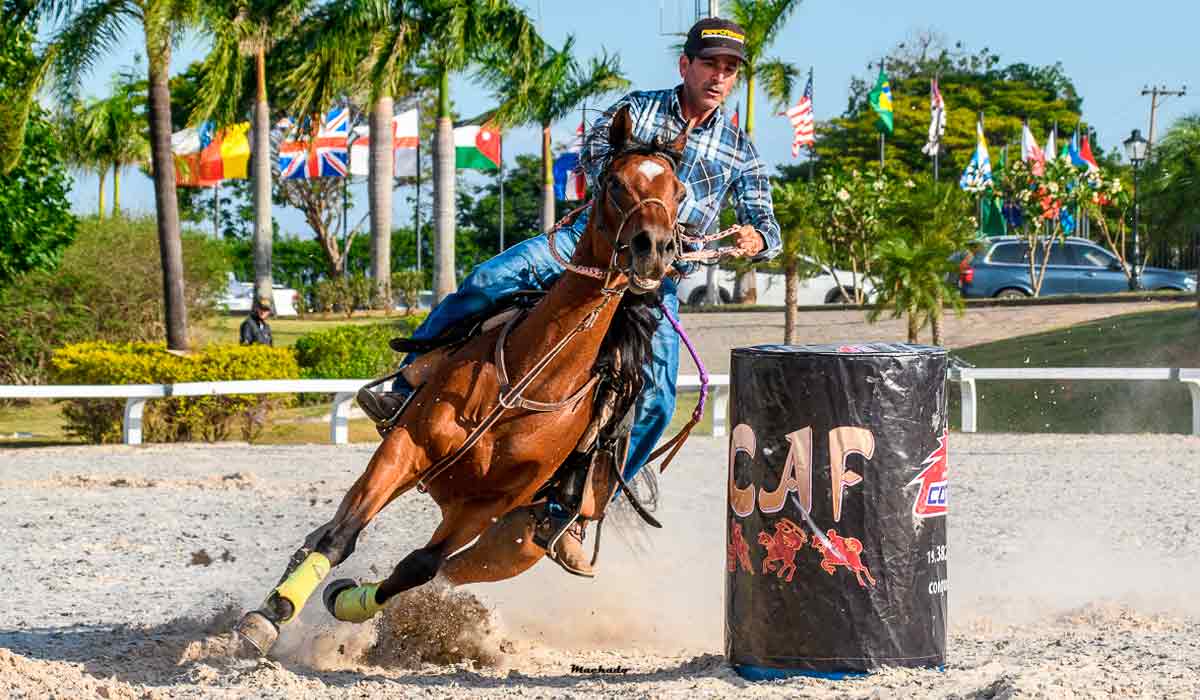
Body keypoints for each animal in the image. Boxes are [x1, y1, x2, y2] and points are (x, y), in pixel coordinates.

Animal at [235, 105, 691, 657]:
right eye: (615, 182)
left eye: (680, 191)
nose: (655, 249)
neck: (526, 384)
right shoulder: (405, 447)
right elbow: (341, 536)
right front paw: (270, 615)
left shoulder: (486, 507)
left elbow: (418, 567)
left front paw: (344, 601)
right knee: (346, 532)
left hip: (515, 543)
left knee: (448, 572)